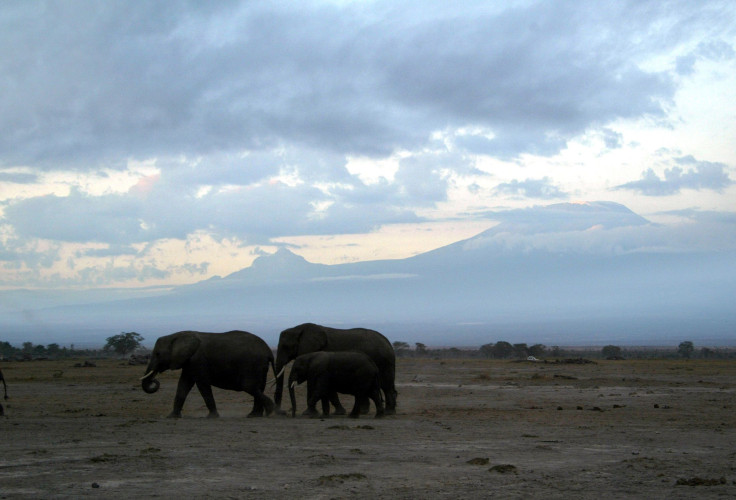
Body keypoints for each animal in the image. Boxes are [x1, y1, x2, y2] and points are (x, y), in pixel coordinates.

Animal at [141, 328, 276, 418]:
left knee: (249, 386)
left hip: (252, 364)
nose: (154, 380)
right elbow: (183, 385)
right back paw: (255, 415)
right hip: (260, 366)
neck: (177, 335)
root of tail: (268, 350)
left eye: (158, 354)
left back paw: (272, 412)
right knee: (258, 387)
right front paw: (172, 417)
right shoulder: (189, 362)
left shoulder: (197, 360)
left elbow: (202, 385)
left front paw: (212, 417)